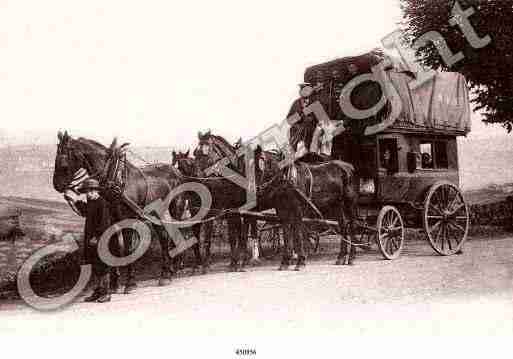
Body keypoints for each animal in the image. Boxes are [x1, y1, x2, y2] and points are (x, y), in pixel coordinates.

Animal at [52, 131, 183, 294]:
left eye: (63, 164)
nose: (56, 185)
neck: (115, 179)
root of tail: (176, 172)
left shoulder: (126, 218)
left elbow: (128, 249)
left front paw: (130, 282)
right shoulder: (111, 219)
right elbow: (114, 248)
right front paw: (114, 284)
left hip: (175, 209)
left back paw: (173, 269)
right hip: (156, 215)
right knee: (164, 237)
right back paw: (166, 273)